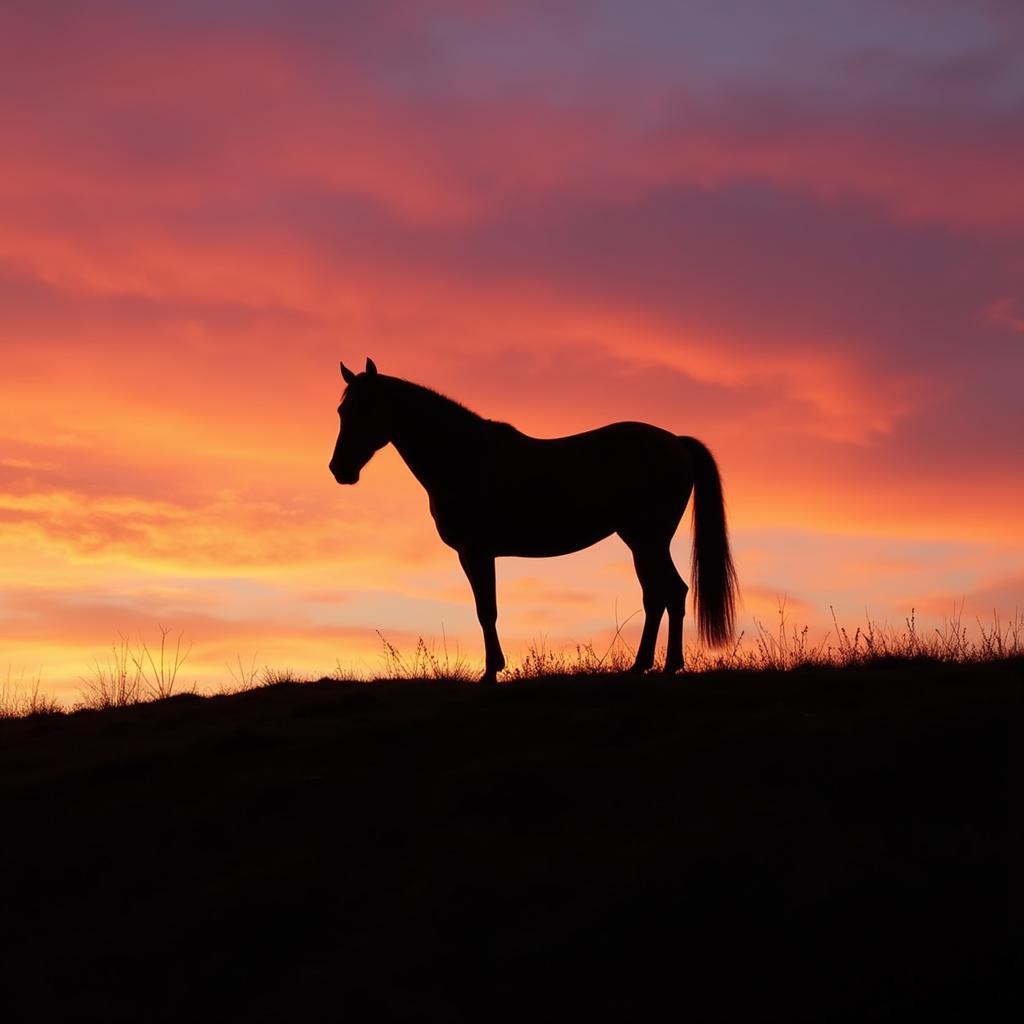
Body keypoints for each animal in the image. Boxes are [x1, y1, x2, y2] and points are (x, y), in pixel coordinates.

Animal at [327, 356, 737, 684]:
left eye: (365, 410)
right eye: (342, 412)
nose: (339, 470)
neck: (465, 457)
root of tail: (677, 443)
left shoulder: (477, 552)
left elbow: (487, 610)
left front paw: (491, 673)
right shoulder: (472, 554)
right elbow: (485, 610)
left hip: (647, 539)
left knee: (672, 592)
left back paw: (668, 667)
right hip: (641, 541)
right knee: (657, 597)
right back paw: (642, 666)